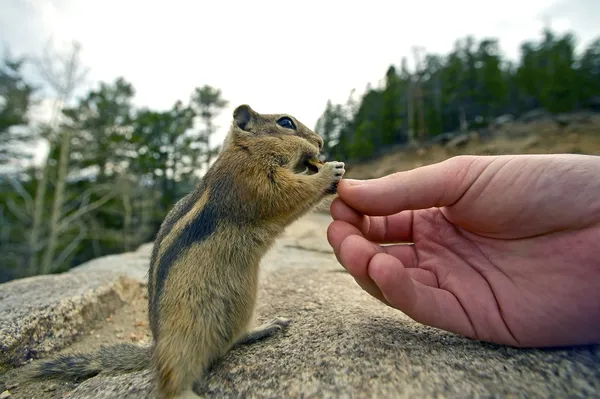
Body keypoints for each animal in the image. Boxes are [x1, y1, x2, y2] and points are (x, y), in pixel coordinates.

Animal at [27, 104, 346, 398]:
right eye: (285, 123)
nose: (320, 142)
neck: (244, 150)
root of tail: (156, 350)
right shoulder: (249, 180)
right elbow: (285, 193)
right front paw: (330, 171)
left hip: (241, 306)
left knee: (230, 340)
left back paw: (264, 328)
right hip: (186, 336)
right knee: (172, 381)